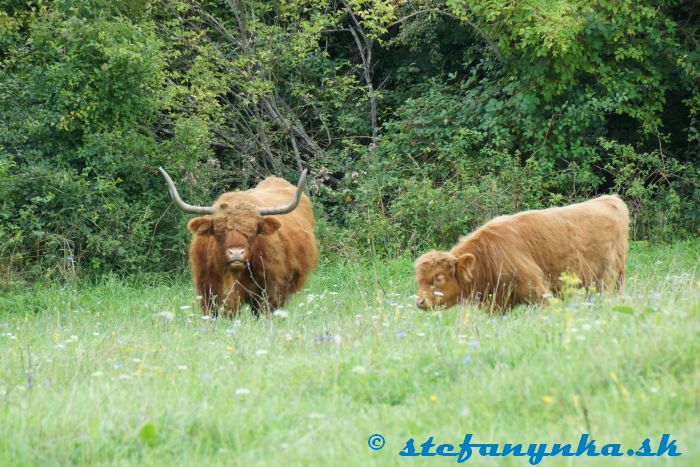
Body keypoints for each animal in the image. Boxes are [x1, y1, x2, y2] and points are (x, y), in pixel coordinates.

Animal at [412, 195, 632, 310]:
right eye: (419, 280)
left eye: (438, 278)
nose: (420, 301)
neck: (487, 256)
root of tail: (609, 199)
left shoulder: (538, 290)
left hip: (608, 277)